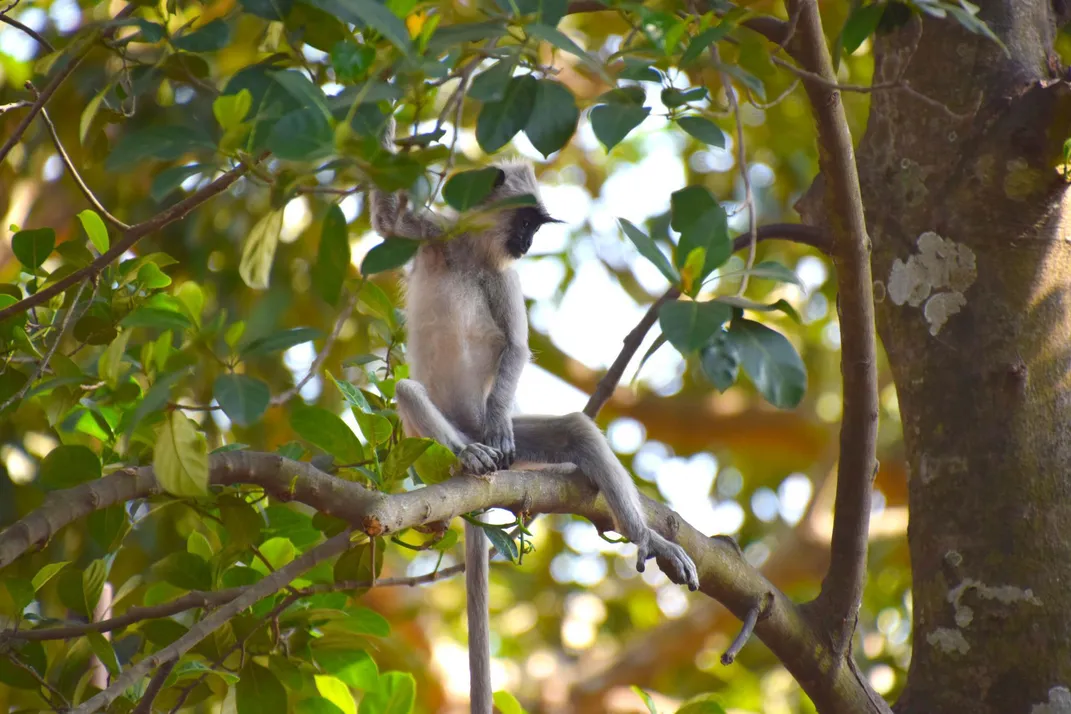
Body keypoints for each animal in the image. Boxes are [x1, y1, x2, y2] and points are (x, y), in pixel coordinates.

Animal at [370, 117, 702, 714]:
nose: (526, 245)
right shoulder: (433, 234)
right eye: (526, 222)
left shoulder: (504, 279)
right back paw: (470, 455)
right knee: (408, 389)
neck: (472, 253)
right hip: (425, 434)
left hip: (509, 444)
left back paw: (648, 539)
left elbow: (519, 349)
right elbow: (387, 220)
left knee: (574, 430)